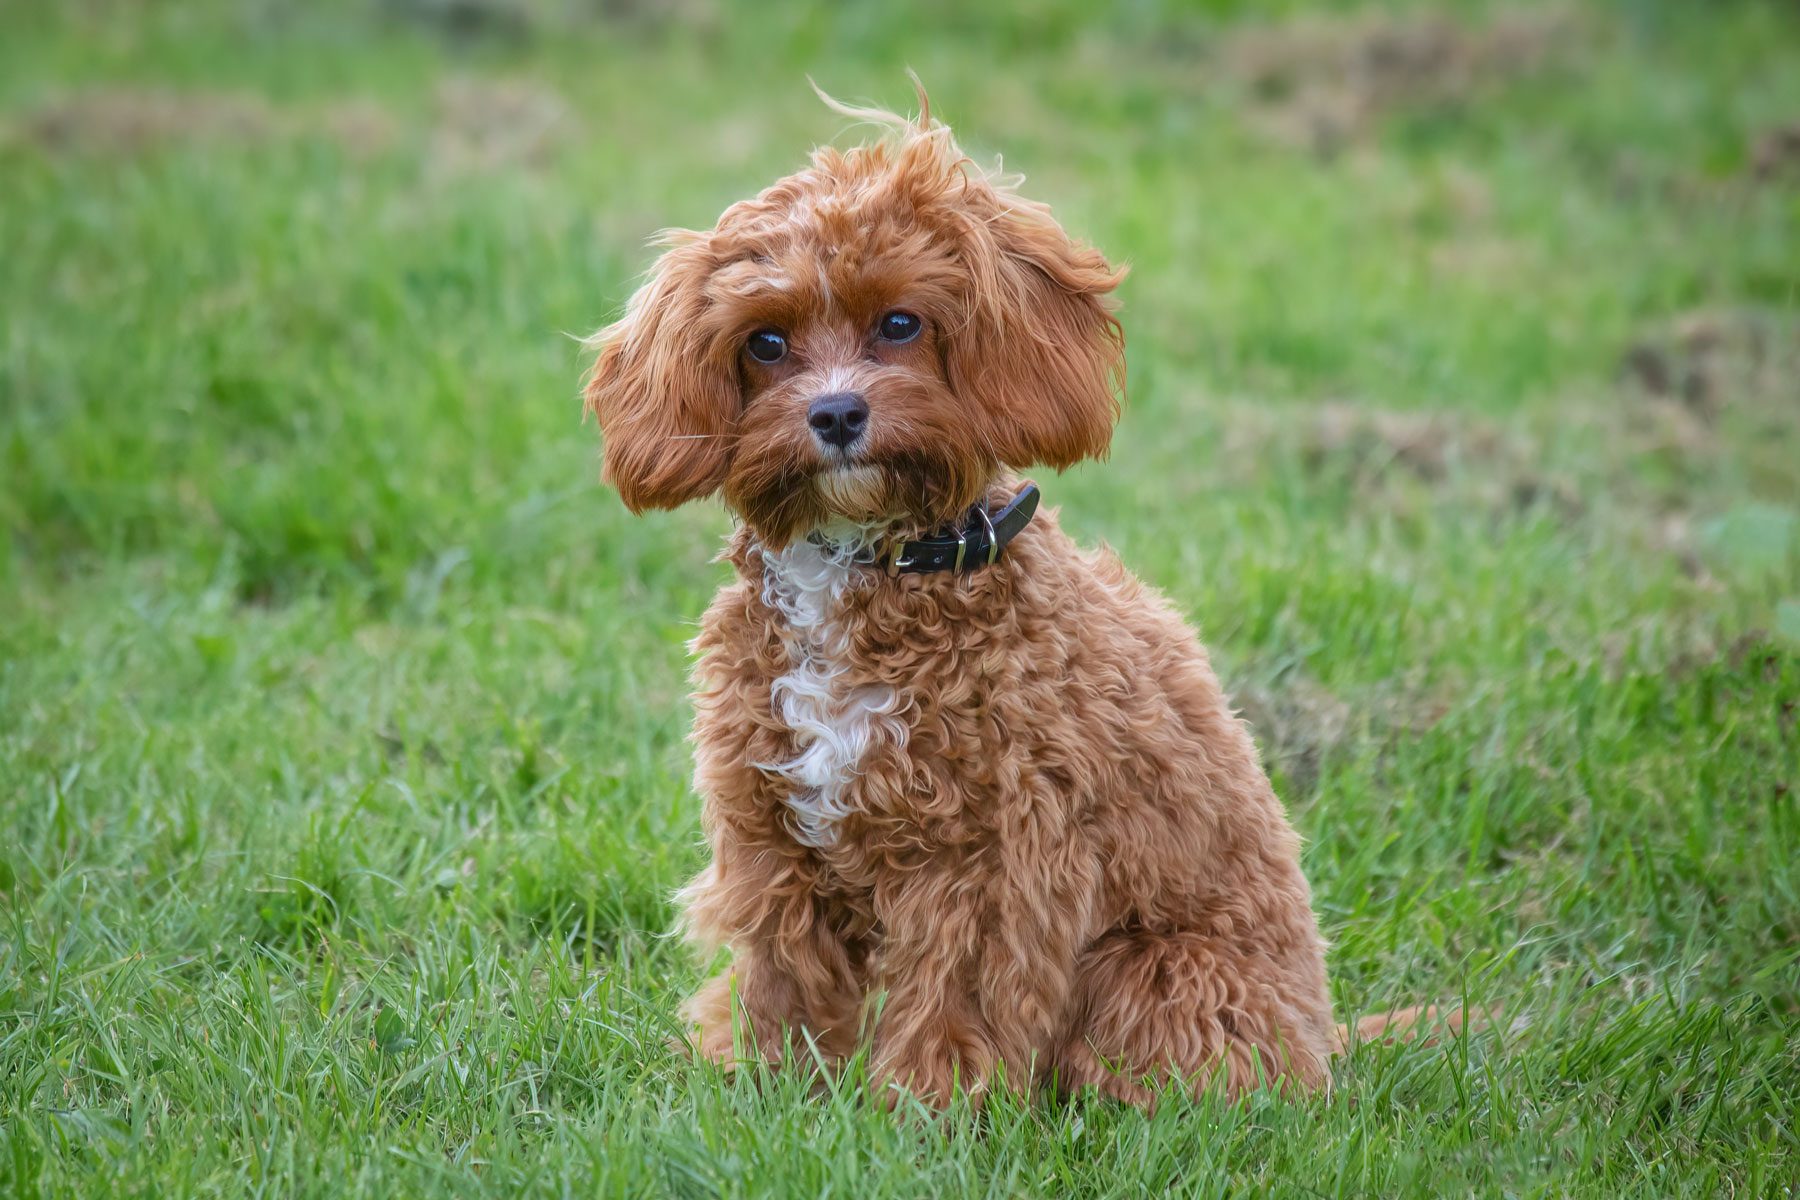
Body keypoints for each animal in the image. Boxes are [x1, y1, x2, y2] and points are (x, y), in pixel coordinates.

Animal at [583, 89, 1382, 1115]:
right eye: (765, 341)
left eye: (900, 324)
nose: (836, 414)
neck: (872, 564)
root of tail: (1327, 1046)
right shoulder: (772, 835)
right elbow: (784, 979)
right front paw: (775, 1095)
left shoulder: (990, 858)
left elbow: (953, 1002)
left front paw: (922, 1112)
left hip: (1164, 976)